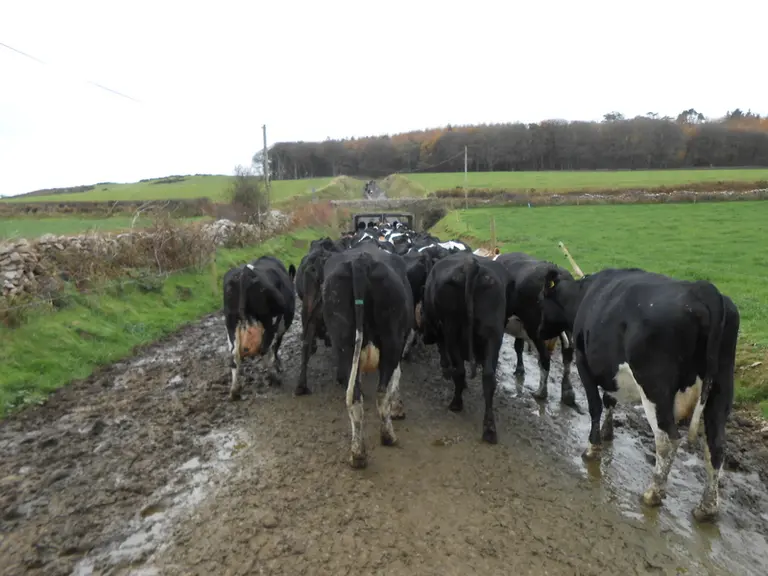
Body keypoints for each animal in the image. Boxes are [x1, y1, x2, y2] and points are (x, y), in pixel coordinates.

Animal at [222, 255, 297, 400]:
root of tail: (244, 273)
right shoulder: (280, 328)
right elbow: (276, 347)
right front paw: (278, 366)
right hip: (269, 321)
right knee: (264, 348)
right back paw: (274, 377)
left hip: (230, 322)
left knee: (234, 356)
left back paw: (234, 390)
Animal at [322, 242, 414, 468]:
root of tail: (361, 260)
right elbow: (396, 379)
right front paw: (398, 408)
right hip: (391, 340)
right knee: (381, 393)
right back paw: (388, 436)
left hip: (343, 345)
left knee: (355, 397)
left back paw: (357, 454)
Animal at [422, 251, 509, 444]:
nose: (425, 339)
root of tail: (471, 264)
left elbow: (444, 353)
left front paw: (446, 369)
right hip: (493, 333)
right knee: (489, 378)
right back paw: (489, 429)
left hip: (452, 329)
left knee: (460, 370)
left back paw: (456, 403)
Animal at [495, 252, 576, 406]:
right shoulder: (519, 327)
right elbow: (518, 346)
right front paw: (520, 369)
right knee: (568, 356)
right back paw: (568, 393)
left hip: (536, 329)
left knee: (545, 358)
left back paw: (541, 392)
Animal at [537, 267, 739, 522]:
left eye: (541, 299)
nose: (539, 330)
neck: (583, 296)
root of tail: (703, 289)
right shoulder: (609, 370)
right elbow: (609, 399)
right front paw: (608, 433)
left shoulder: (584, 363)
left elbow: (595, 406)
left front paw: (593, 448)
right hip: (721, 390)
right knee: (716, 445)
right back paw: (707, 507)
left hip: (655, 388)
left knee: (667, 439)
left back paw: (653, 493)